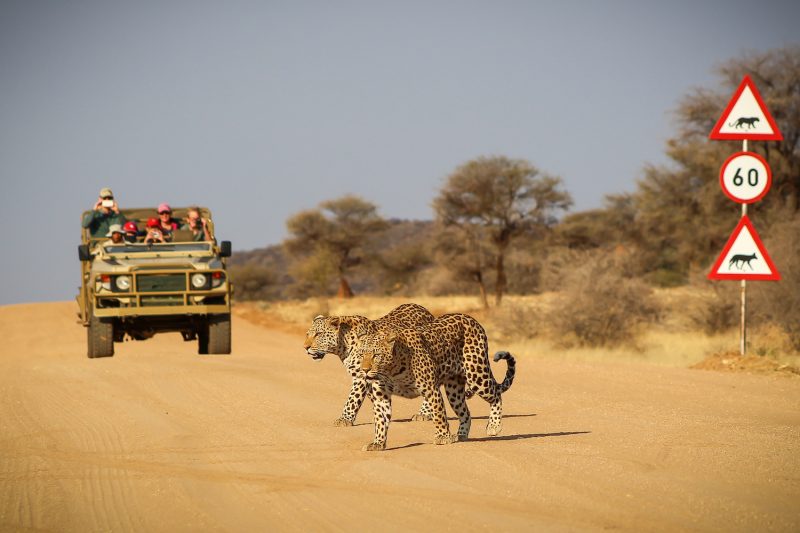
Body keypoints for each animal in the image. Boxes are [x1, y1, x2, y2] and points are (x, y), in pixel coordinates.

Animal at [302, 302, 434, 426]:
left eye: (318, 334)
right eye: (307, 334)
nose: (305, 347)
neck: (343, 345)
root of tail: (422, 308)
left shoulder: (361, 375)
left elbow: (353, 398)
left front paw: (344, 419)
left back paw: (424, 413)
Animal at [354, 314, 516, 450]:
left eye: (376, 355)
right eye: (361, 354)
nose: (365, 370)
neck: (391, 370)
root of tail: (472, 319)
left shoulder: (431, 389)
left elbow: (439, 414)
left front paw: (443, 437)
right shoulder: (381, 397)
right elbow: (380, 420)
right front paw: (378, 443)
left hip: (477, 374)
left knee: (496, 395)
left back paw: (494, 426)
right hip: (454, 390)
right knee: (465, 412)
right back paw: (461, 435)